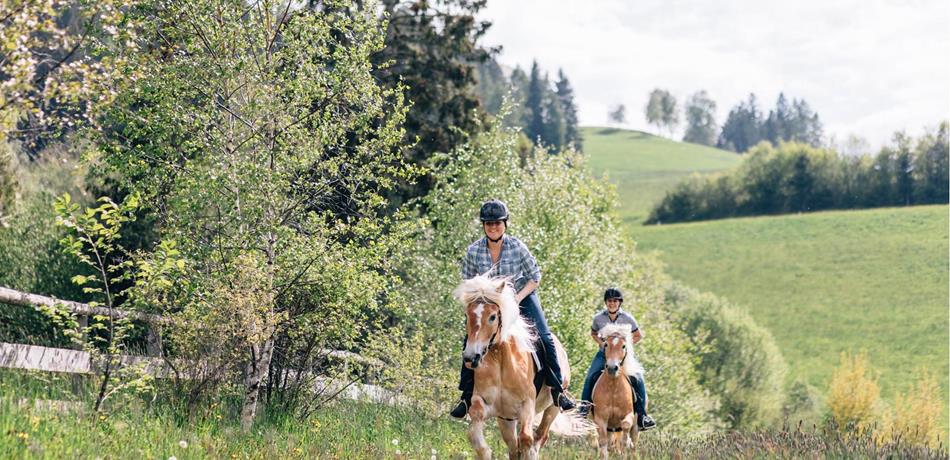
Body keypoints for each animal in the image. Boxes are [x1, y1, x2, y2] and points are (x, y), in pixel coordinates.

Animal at [596, 324, 648, 460]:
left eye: (623, 346)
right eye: (606, 344)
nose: (612, 368)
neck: (613, 388)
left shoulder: (628, 414)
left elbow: (625, 426)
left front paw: (626, 443)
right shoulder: (601, 419)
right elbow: (603, 442)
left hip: (636, 426)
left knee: (634, 444)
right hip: (611, 427)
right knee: (610, 442)